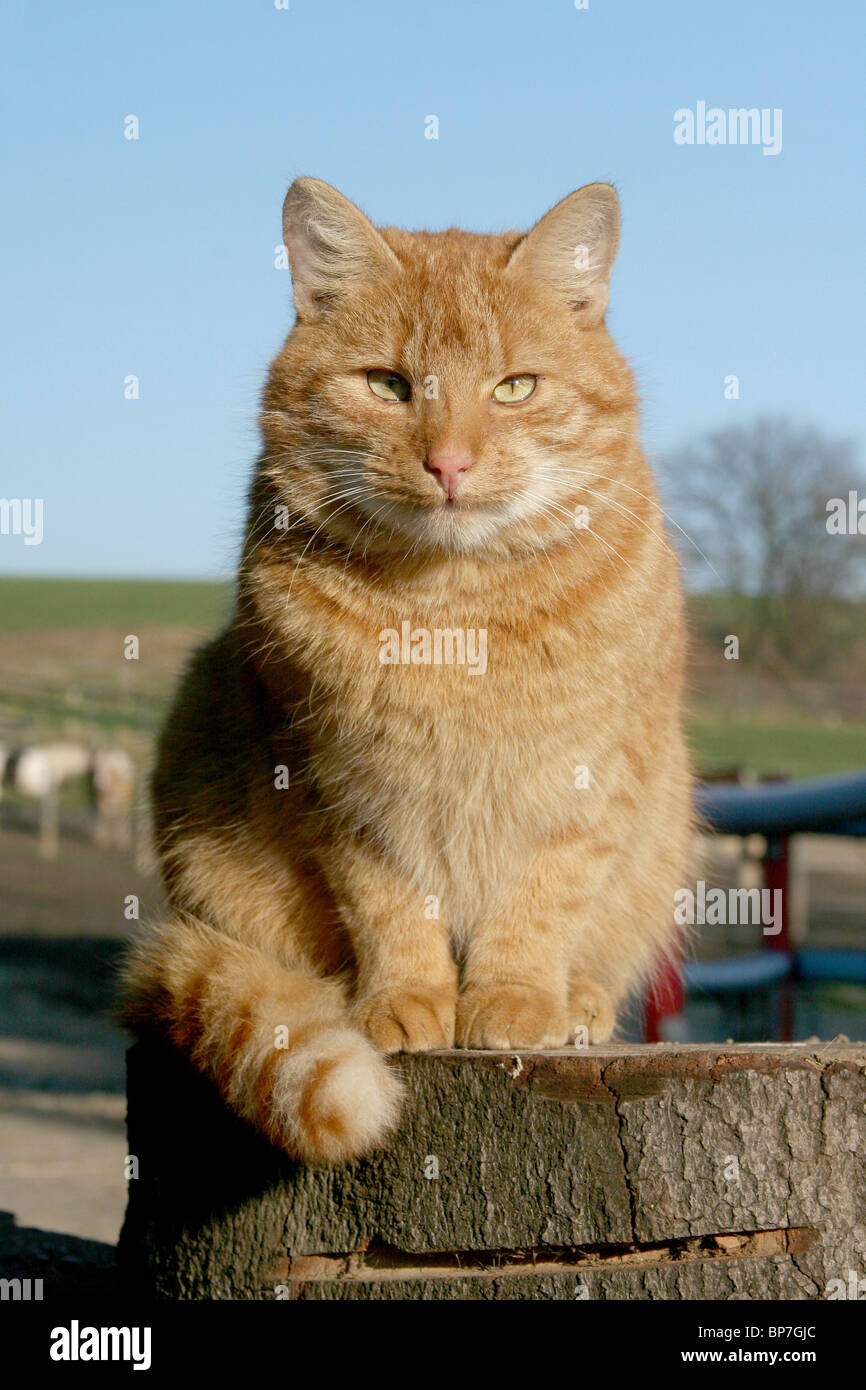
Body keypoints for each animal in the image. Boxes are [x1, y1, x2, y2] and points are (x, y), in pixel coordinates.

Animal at [120, 179, 692, 1167]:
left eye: (514, 387)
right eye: (389, 385)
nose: (449, 462)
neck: (454, 616)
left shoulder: (593, 781)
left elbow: (543, 899)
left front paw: (516, 997)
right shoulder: (337, 782)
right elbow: (389, 904)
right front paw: (404, 999)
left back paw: (578, 1002)